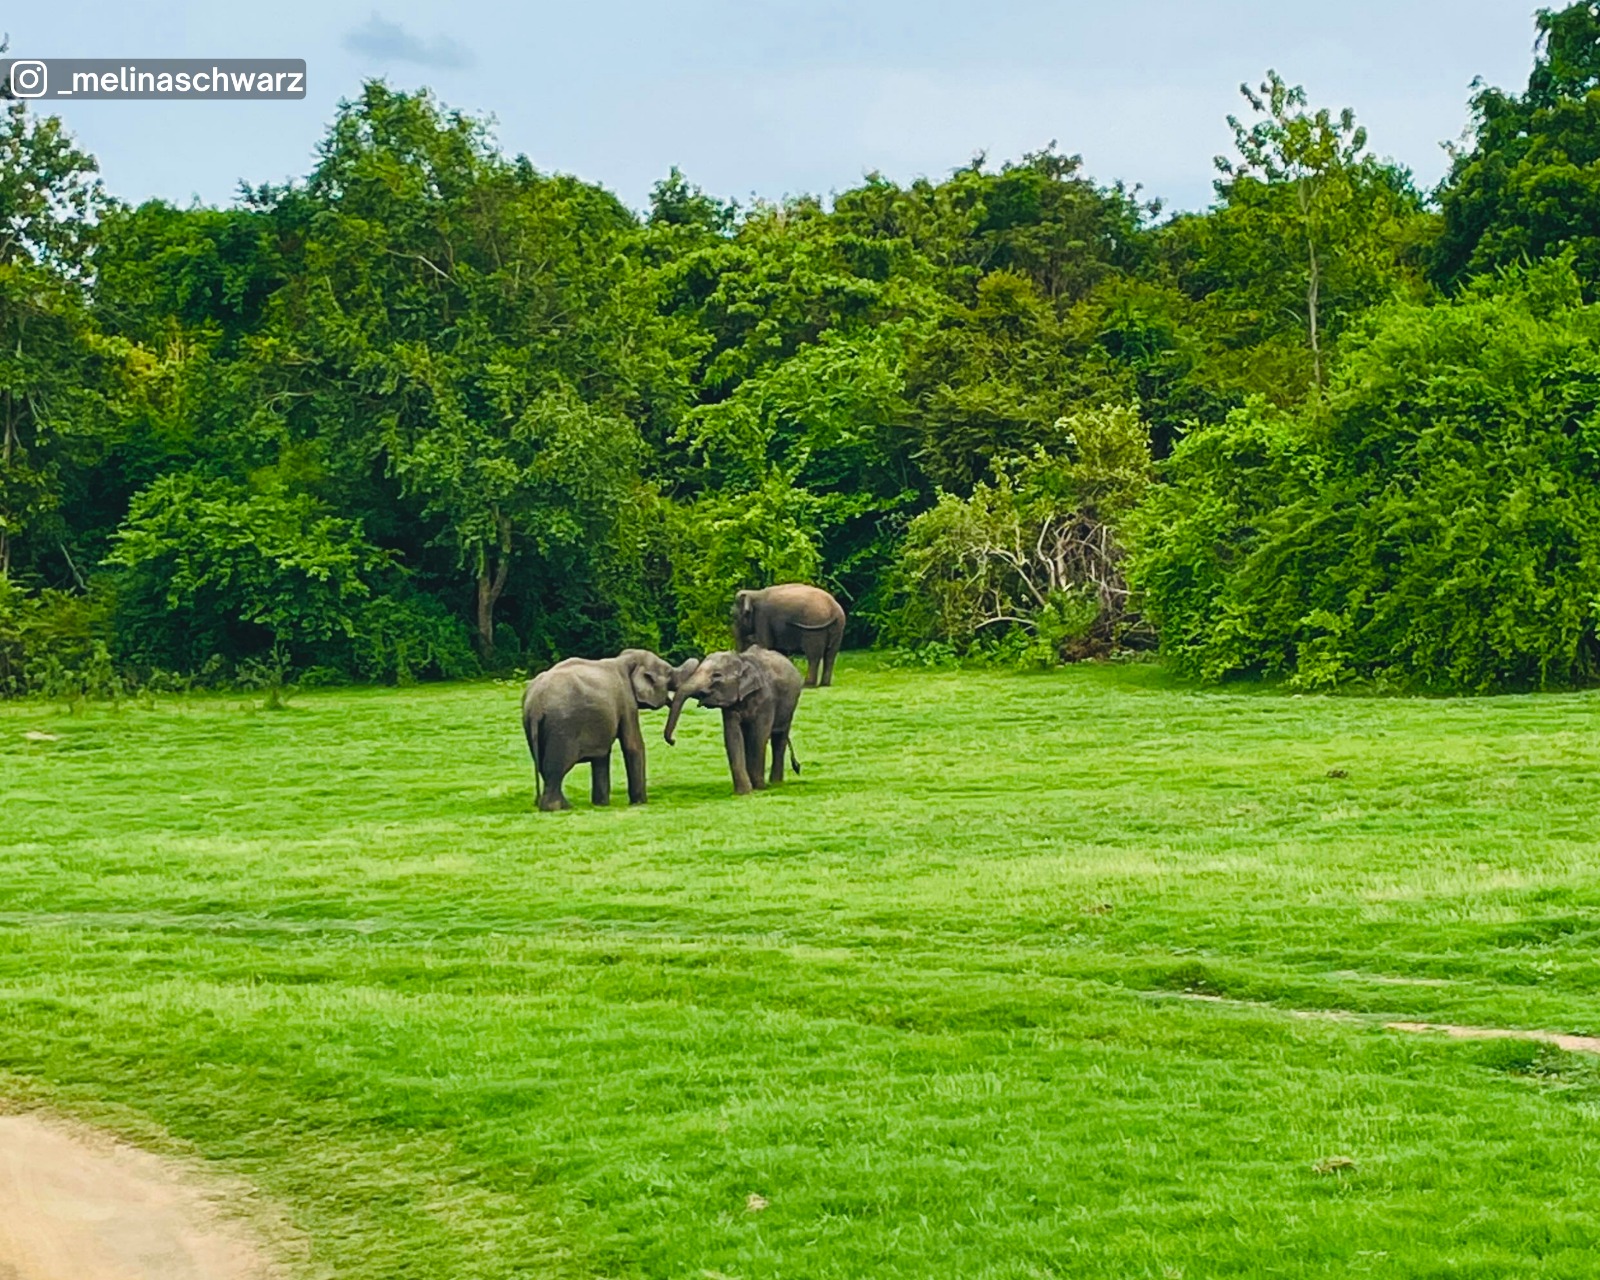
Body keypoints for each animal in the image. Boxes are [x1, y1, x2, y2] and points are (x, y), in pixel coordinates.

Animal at [522, 649, 699, 811]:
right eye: (669, 673)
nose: (673, 741)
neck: (624, 660)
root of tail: (536, 704)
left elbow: (601, 756)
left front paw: (601, 805)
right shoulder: (626, 700)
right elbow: (633, 745)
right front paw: (640, 804)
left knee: (543, 767)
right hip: (562, 729)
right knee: (556, 768)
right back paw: (559, 808)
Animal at [663, 647, 803, 795]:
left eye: (717, 675)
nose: (672, 741)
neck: (741, 659)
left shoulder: (766, 700)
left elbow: (758, 737)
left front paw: (759, 789)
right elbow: (732, 736)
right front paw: (744, 793)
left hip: (790, 705)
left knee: (779, 739)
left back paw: (775, 783)